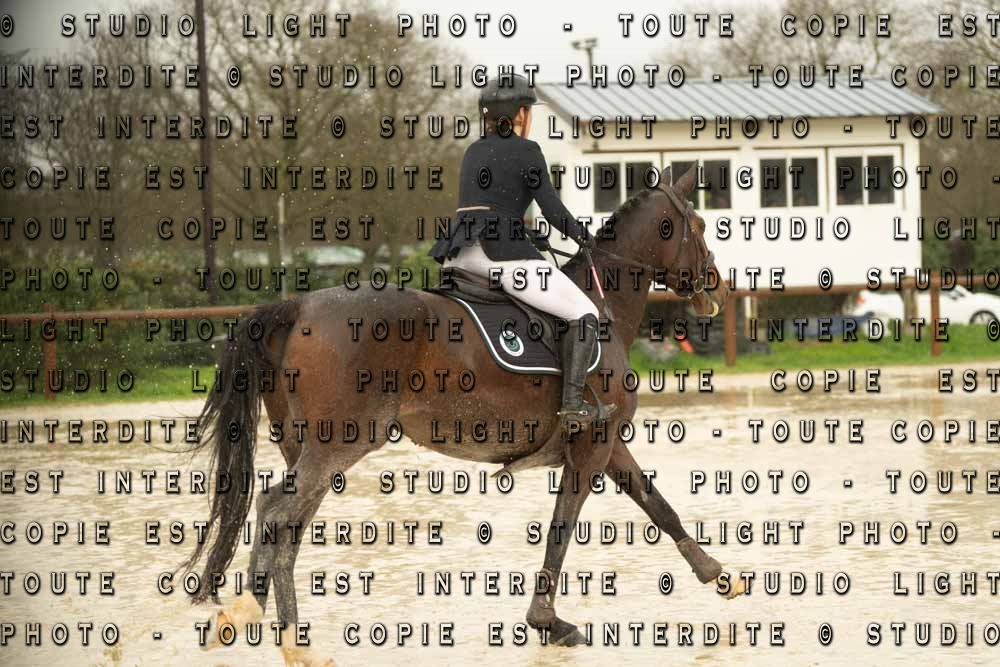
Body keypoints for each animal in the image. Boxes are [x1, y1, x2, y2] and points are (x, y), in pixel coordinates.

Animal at [180, 165, 742, 666]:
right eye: (697, 225)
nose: (717, 287)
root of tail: (298, 306)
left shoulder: (607, 444)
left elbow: (660, 507)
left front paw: (719, 574)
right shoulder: (592, 446)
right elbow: (564, 525)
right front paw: (548, 622)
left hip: (309, 448)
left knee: (284, 521)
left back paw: (260, 621)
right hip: (340, 443)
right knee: (278, 511)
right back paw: (279, 632)